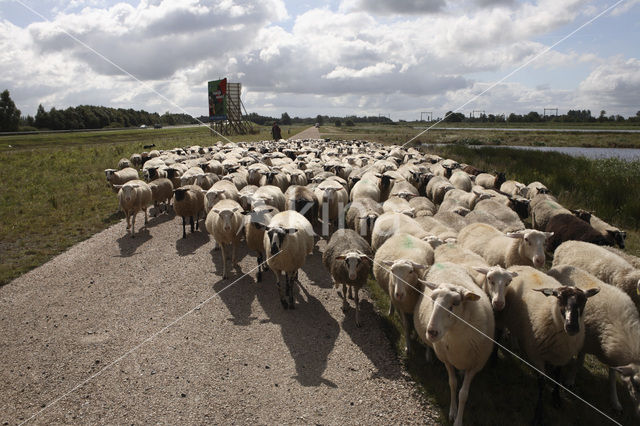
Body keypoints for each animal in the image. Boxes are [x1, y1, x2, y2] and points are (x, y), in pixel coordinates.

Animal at [416, 260, 496, 426]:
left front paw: (458, 420)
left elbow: (463, 394)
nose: (431, 332)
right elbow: (452, 384)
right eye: (432, 299)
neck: (456, 337)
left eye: (455, 303)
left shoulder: (475, 365)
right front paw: (452, 412)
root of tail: (446, 262)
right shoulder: (447, 359)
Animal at [500, 264, 600, 424]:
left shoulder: (562, 356)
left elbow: (557, 377)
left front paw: (556, 397)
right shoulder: (536, 355)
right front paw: (538, 413)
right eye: (559, 298)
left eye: (584, 301)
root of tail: (520, 265)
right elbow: (542, 383)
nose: (572, 326)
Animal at [544, 264, 640, 418]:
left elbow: (612, 377)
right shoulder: (585, 342)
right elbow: (579, 362)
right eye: (636, 384)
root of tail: (561, 266)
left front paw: (615, 401)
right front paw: (570, 380)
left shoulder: (612, 358)